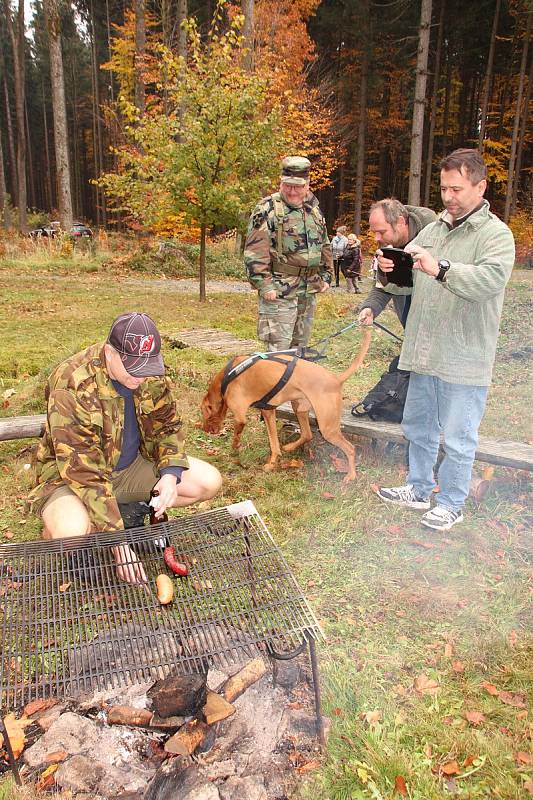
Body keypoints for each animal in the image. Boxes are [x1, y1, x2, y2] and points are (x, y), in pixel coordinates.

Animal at [200, 326, 370, 478]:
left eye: (203, 413)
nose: (204, 430)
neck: (226, 378)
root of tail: (336, 379)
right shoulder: (268, 411)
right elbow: (274, 443)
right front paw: (272, 463)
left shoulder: (240, 417)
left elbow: (237, 436)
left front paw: (235, 449)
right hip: (299, 408)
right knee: (307, 434)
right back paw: (289, 447)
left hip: (327, 428)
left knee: (350, 448)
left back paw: (351, 476)